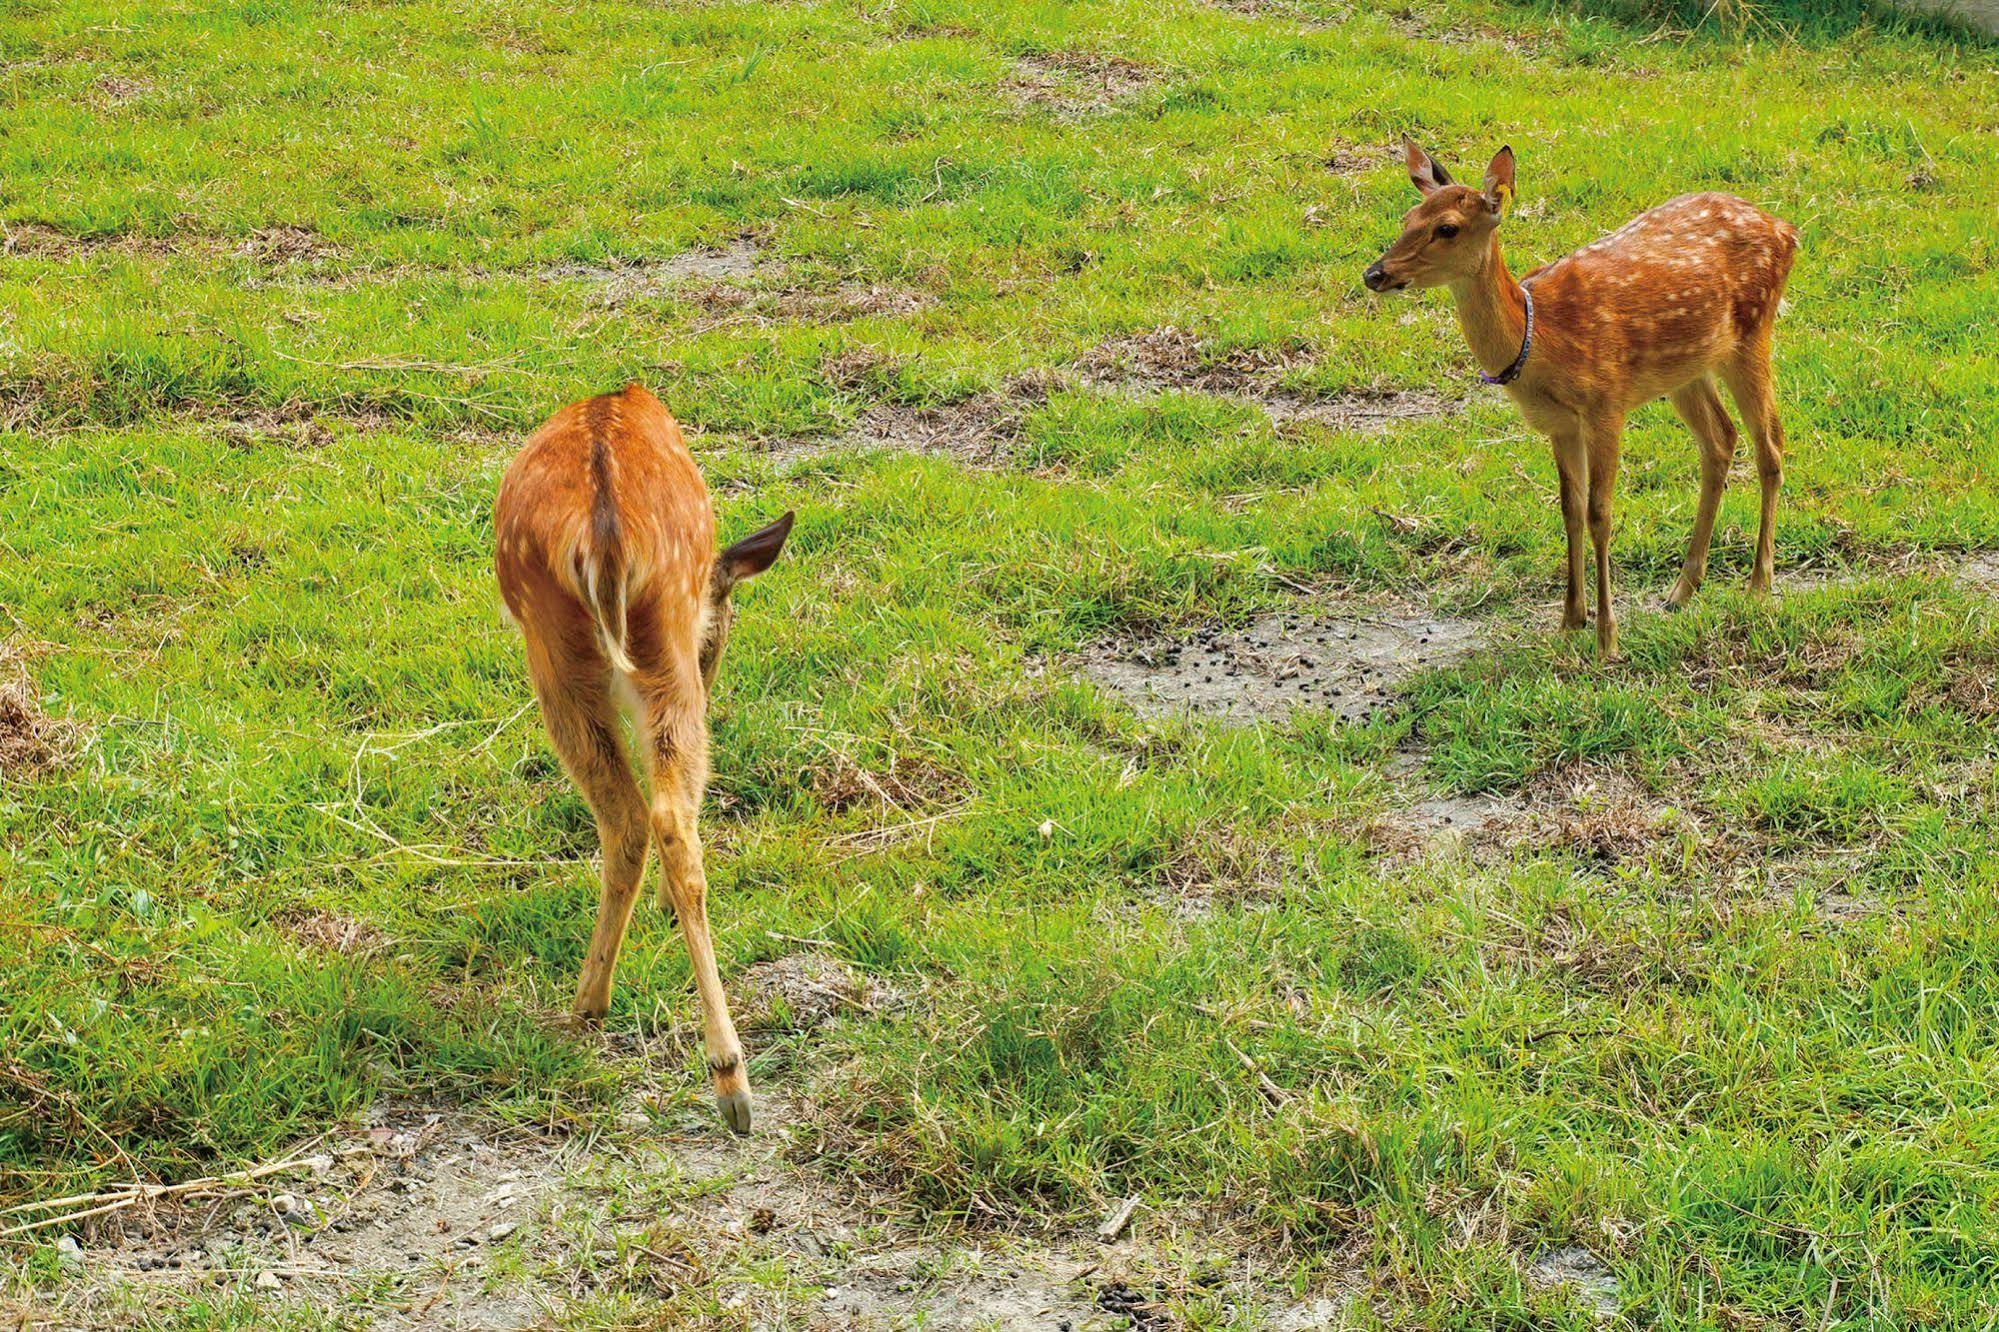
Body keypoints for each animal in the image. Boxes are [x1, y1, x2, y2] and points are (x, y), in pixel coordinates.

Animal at [491, 382, 787, 1128]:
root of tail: (603, 542)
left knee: (634, 817)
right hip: (660, 652)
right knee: (666, 817)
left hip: (559, 652)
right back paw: (727, 1079)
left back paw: (598, 1011)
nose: (716, 654)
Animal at [1367, 143, 1807, 656]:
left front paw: (1606, 638)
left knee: (1770, 447)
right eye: (1407, 217)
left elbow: (1600, 514)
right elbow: (1570, 509)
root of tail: (1787, 230)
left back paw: (1758, 586)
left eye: (1447, 228)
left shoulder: (1606, 405)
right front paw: (1570, 620)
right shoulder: (1559, 424)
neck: (1540, 340)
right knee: (1720, 439)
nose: (1375, 273)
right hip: (1686, 368)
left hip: (1754, 332)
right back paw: (1682, 589)